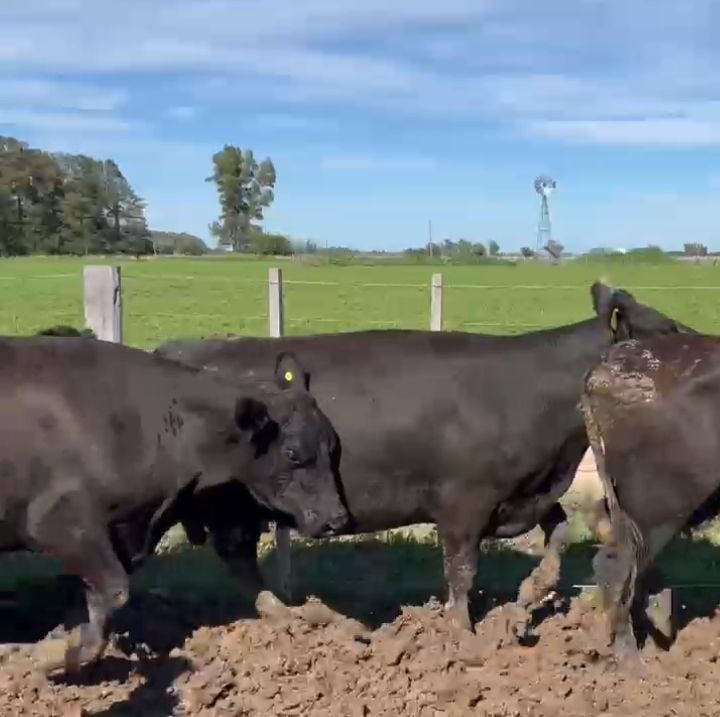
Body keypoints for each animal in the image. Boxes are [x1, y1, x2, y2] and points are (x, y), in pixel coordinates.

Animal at [0, 335, 348, 673]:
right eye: (292, 452)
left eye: (332, 445)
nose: (337, 519)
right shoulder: (59, 524)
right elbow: (114, 592)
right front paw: (41, 655)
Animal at [155, 281, 691, 635]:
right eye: (667, 329)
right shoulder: (463, 502)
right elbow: (461, 571)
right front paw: (460, 633)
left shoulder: (527, 491)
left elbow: (558, 536)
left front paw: (527, 597)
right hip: (228, 506)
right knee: (237, 557)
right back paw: (295, 617)